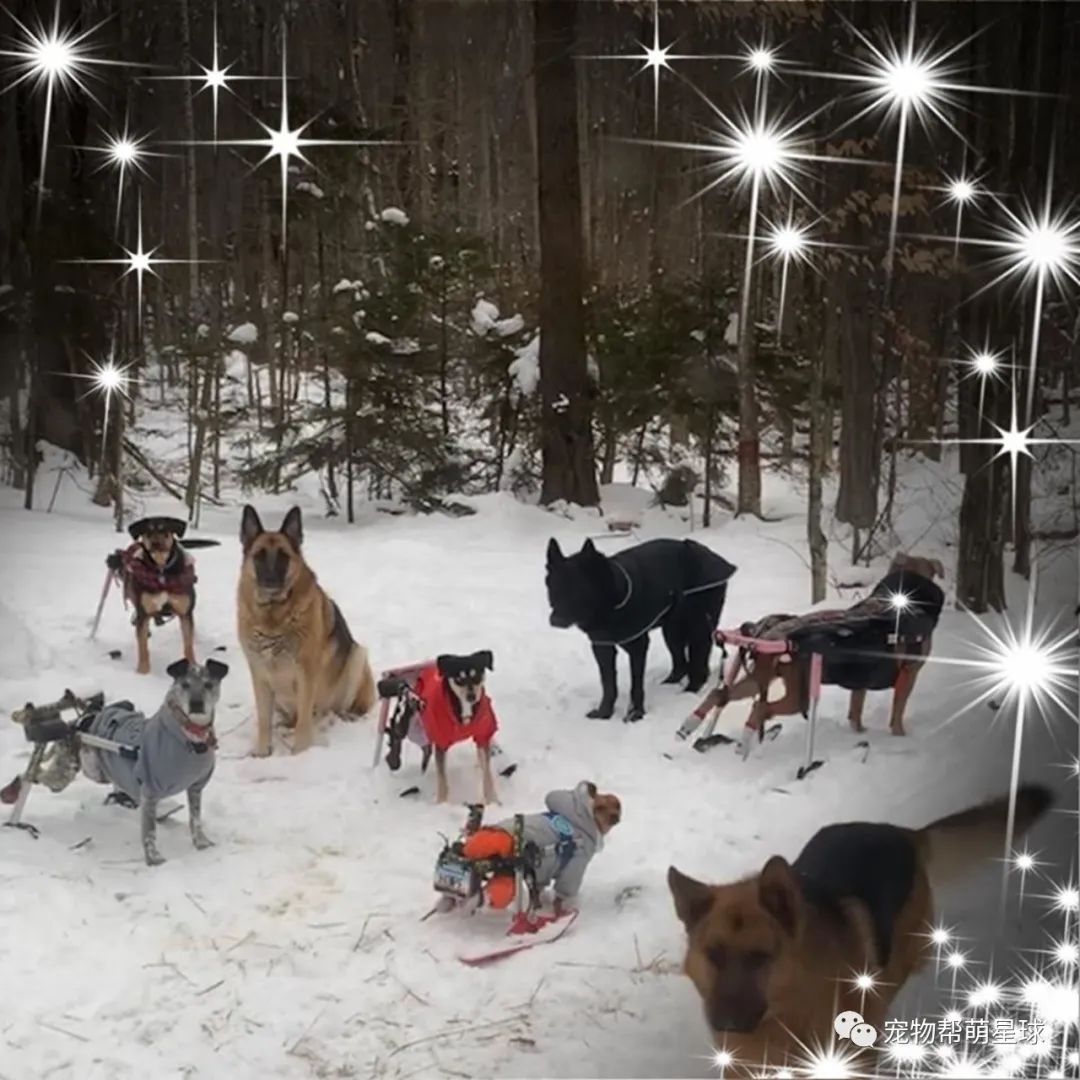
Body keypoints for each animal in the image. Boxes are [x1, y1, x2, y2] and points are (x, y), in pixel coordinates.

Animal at [40, 652, 227, 864]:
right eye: (185, 684)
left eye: (208, 684)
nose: (196, 704)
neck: (190, 737)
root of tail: (79, 722)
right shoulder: (150, 790)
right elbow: (149, 831)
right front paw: (153, 858)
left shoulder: (196, 787)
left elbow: (195, 819)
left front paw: (201, 843)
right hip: (76, 769)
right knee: (44, 776)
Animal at [236, 503, 375, 751]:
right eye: (259, 556)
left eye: (283, 557)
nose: (270, 580)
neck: (273, 618)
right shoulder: (259, 674)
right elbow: (263, 721)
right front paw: (262, 752)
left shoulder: (306, 675)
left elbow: (303, 723)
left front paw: (300, 753)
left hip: (357, 656)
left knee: (332, 710)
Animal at [544, 535, 738, 721]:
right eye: (554, 588)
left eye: (577, 590)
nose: (555, 621)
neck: (612, 598)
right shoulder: (602, 647)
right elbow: (608, 685)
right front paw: (604, 713)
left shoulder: (638, 646)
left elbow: (635, 686)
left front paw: (635, 714)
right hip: (672, 631)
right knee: (680, 663)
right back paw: (669, 684)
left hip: (698, 626)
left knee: (698, 665)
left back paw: (689, 692)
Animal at [669, 786, 1049, 1071]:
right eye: (714, 954)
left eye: (760, 957)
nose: (726, 1024)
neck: (787, 1014)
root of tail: (903, 833)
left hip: (906, 952)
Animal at [704, 552, 941, 738]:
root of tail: (772, 635)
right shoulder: (909, 674)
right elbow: (897, 712)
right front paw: (899, 734)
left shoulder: (861, 679)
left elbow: (856, 710)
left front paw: (858, 732)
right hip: (797, 696)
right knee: (761, 707)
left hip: (759, 678)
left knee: (721, 695)